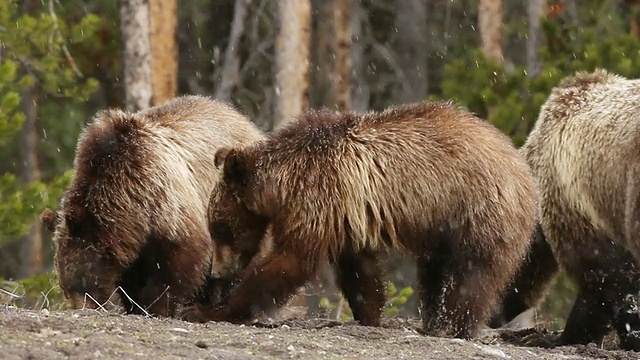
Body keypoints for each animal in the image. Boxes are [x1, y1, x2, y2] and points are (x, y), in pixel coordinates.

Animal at [40, 95, 264, 318]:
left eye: (81, 280)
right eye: (64, 286)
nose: (80, 307)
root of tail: (242, 119)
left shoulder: (167, 203)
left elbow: (179, 265)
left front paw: (159, 306)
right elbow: (132, 279)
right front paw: (136, 306)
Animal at [180, 101, 540, 340]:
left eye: (219, 228)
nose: (217, 272)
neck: (280, 184)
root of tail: (520, 162)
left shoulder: (316, 195)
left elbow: (289, 260)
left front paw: (207, 310)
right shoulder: (345, 214)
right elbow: (359, 270)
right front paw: (369, 314)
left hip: (475, 209)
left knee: (471, 273)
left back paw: (453, 326)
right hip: (443, 226)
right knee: (434, 271)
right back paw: (434, 319)